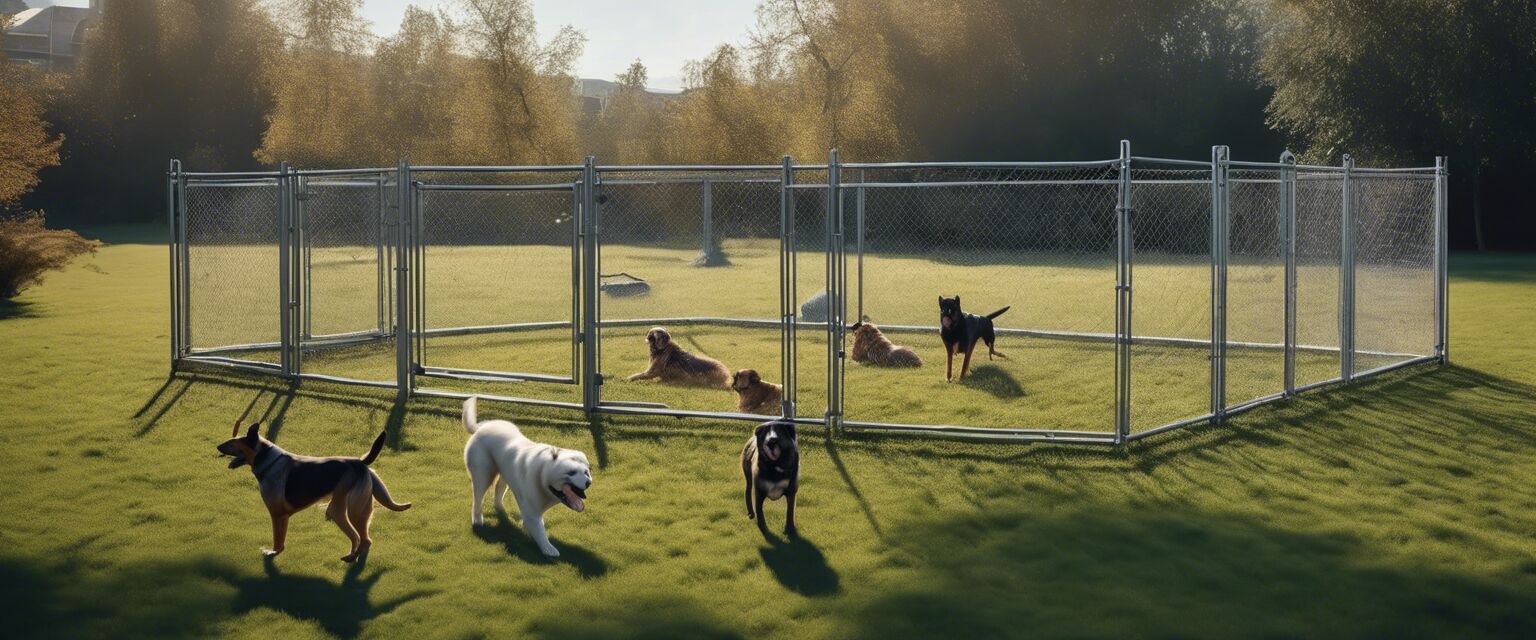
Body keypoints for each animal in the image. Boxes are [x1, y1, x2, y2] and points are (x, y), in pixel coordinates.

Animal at [216, 420, 411, 561]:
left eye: (232, 442)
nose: (217, 446)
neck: (268, 461)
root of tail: (361, 463)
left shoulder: (278, 515)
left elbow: (278, 541)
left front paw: (272, 553)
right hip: (354, 510)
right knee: (363, 539)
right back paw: (353, 557)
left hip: (343, 511)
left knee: (360, 539)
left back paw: (351, 558)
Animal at [457, 395, 589, 555]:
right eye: (571, 472)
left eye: (587, 473)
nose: (588, 483)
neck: (542, 476)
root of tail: (479, 428)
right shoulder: (531, 511)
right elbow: (539, 531)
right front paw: (549, 550)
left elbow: (536, 525)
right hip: (483, 474)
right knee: (477, 498)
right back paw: (477, 521)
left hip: (504, 473)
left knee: (498, 488)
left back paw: (500, 509)